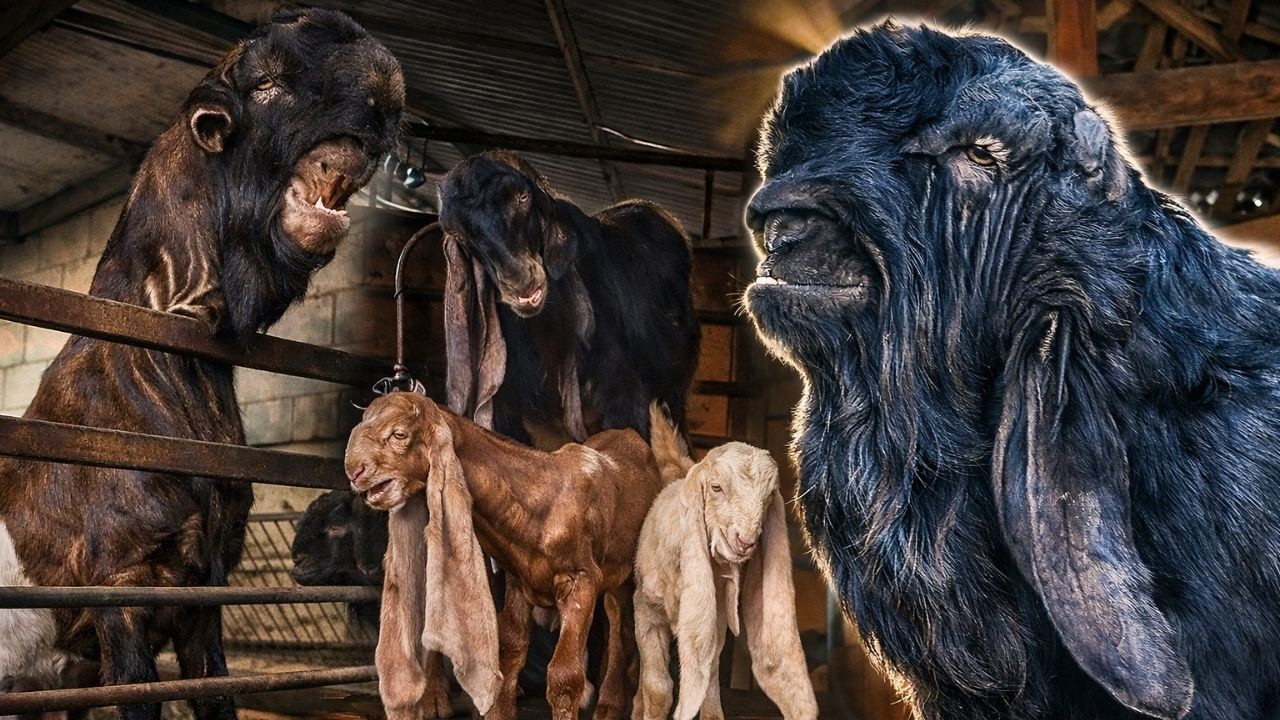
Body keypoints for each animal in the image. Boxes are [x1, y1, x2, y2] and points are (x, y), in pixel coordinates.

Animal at [344, 392, 664, 720]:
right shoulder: (518, 579)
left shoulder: (581, 579)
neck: (542, 500)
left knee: (620, 627)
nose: (354, 471)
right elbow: (510, 651)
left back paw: (610, 705)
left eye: (399, 434)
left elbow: (565, 675)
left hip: (624, 574)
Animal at [632, 407, 816, 720]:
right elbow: (657, 688)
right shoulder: (647, 610)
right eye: (716, 488)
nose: (746, 541)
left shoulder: (714, 616)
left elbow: (707, 675)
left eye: (769, 496)